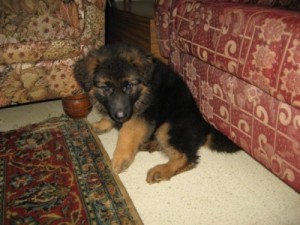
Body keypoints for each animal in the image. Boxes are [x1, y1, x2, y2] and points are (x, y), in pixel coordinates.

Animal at [74, 44, 239, 185]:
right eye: (106, 88)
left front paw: (120, 157)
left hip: (169, 127)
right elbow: (109, 113)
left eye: (129, 85)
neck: (144, 89)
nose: (120, 117)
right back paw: (149, 144)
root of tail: (205, 126)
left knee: (187, 157)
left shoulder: (141, 115)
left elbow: (126, 132)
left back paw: (161, 170)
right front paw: (101, 124)